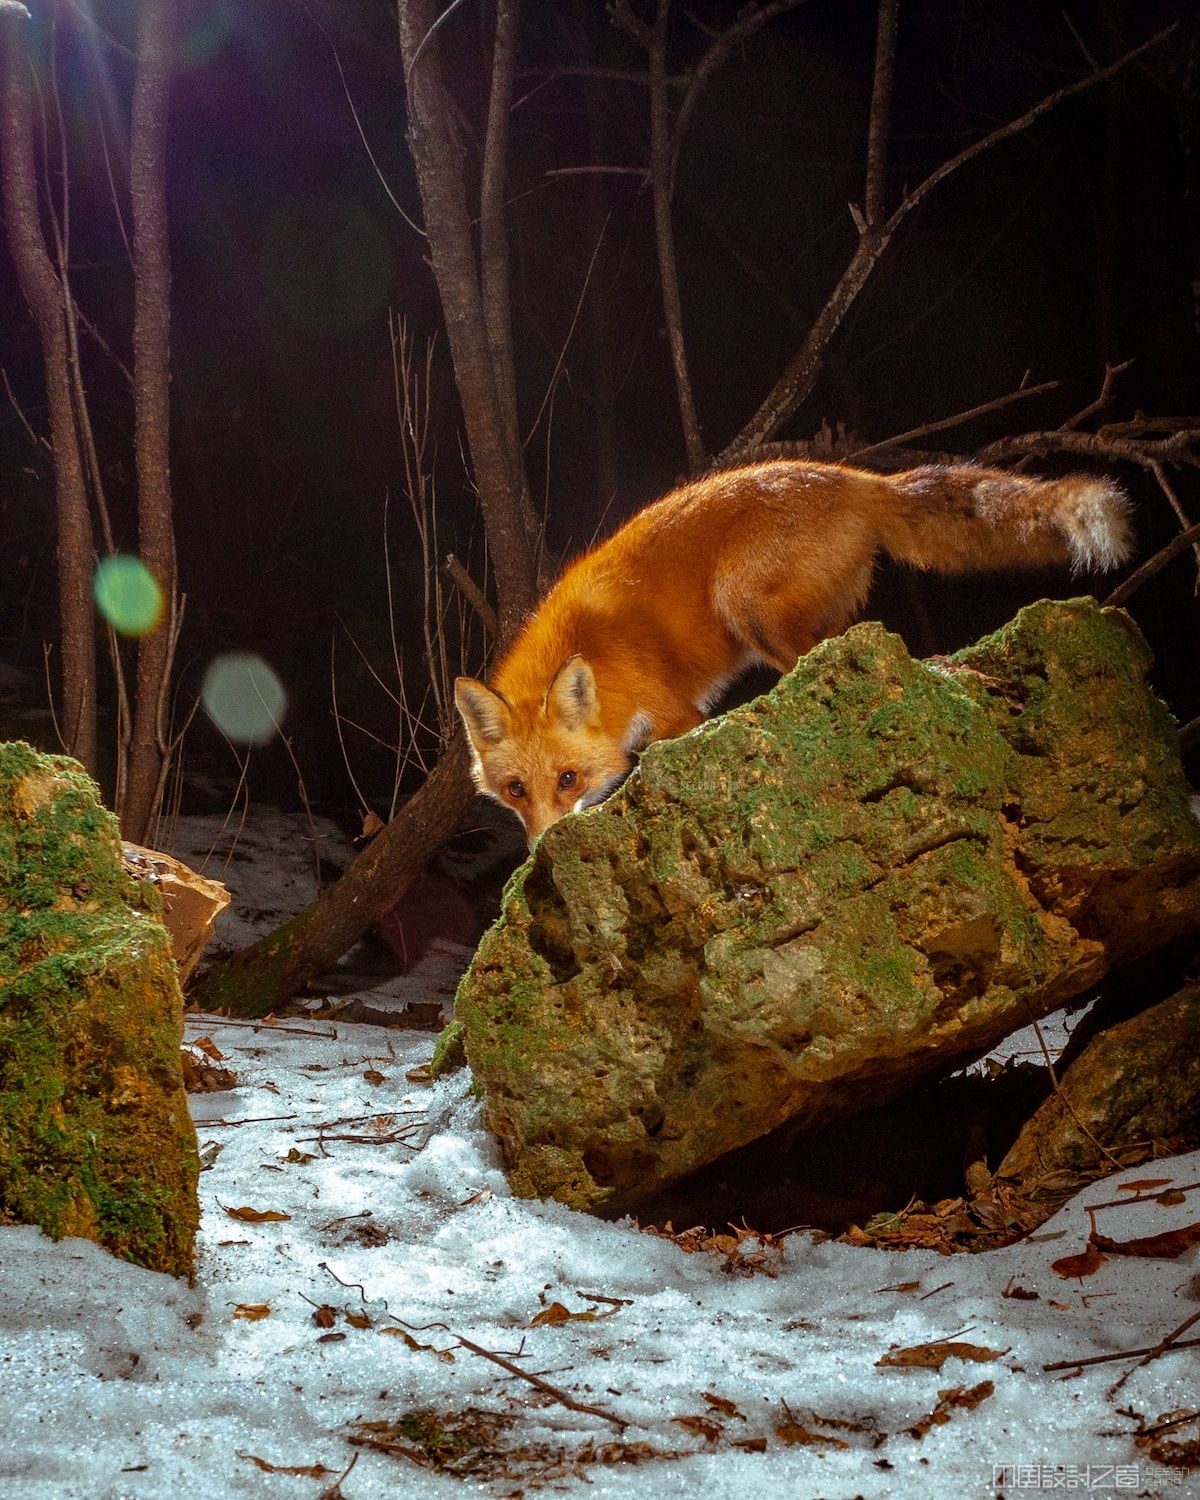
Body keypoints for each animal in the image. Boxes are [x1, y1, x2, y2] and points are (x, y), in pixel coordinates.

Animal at [456, 456, 1128, 846]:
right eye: (515, 790)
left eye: (568, 779)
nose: (541, 849)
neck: (598, 658)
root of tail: (857, 478)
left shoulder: (679, 716)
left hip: (746, 604)